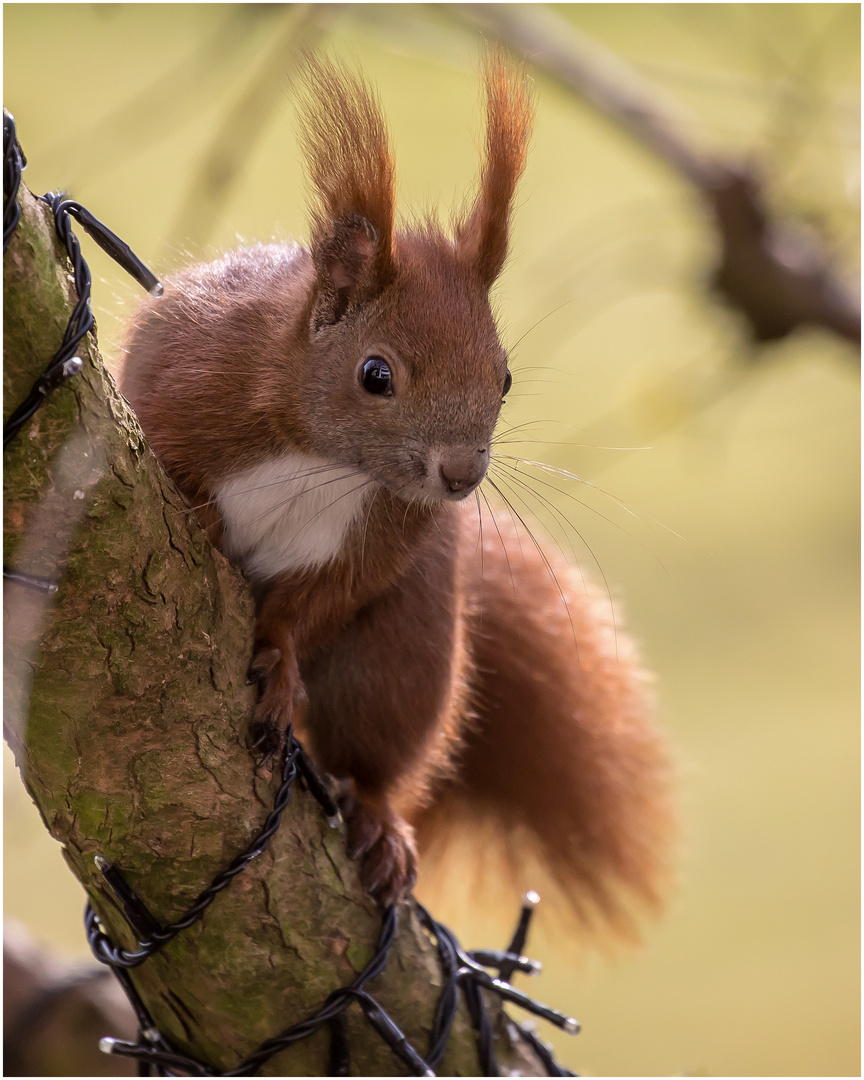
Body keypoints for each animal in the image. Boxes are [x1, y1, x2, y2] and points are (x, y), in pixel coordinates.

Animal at [118, 52, 669, 928]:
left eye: (503, 376)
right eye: (375, 375)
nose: (461, 475)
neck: (325, 457)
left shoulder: (381, 541)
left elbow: (315, 603)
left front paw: (278, 661)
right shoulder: (181, 377)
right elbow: (169, 451)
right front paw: (201, 517)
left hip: (404, 653)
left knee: (376, 753)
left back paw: (378, 822)